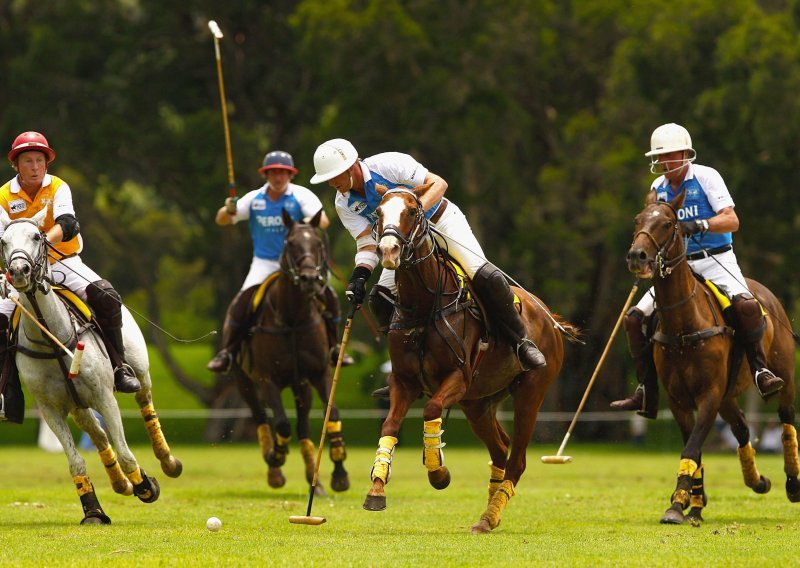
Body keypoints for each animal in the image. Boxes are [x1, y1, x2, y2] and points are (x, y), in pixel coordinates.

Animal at [228, 211, 346, 494]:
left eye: (318, 244)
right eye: (291, 243)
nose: (310, 279)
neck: (293, 318)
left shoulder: (320, 374)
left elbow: (332, 414)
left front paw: (339, 475)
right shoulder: (267, 379)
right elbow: (280, 422)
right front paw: (276, 456)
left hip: (300, 384)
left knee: (303, 426)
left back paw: (315, 480)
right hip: (243, 379)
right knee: (260, 416)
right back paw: (274, 469)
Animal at [362, 185, 576, 532]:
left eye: (412, 211)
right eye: (378, 213)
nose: (389, 251)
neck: (424, 306)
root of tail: (549, 316)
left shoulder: (458, 377)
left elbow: (432, 409)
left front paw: (438, 472)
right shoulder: (403, 381)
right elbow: (390, 424)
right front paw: (377, 488)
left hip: (531, 391)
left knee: (517, 459)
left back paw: (488, 517)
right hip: (479, 402)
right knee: (500, 449)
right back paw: (489, 513)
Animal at [628, 191, 796, 524]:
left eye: (667, 223)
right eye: (638, 220)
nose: (637, 256)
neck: (683, 324)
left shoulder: (708, 393)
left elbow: (692, 448)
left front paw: (678, 505)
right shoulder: (680, 399)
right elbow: (694, 448)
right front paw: (688, 502)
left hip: (782, 375)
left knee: (786, 418)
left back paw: (793, 484)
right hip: (728, 396)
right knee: (742, 428)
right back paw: (756, 480)